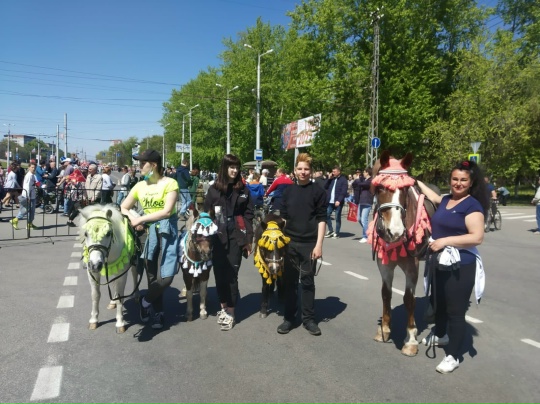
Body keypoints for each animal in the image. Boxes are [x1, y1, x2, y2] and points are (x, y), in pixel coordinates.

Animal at [79, 204, 140, 334]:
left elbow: (120, 296)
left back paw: (136, 295)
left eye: (108, 233)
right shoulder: (92, 273)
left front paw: (120, 323)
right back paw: (112, 302)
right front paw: (93, 320)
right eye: (86, 233)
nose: (95, 265)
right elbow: (95, 295)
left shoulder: (122, 273)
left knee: (134, 274)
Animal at [368, 151, 432, 356]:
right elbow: (386, 293)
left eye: (404, 190)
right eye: (380, 188)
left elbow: (409, 299)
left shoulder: (412, 266)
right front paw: (385, 329)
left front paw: (410, 338)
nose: (395, 232)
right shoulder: (384, 264)